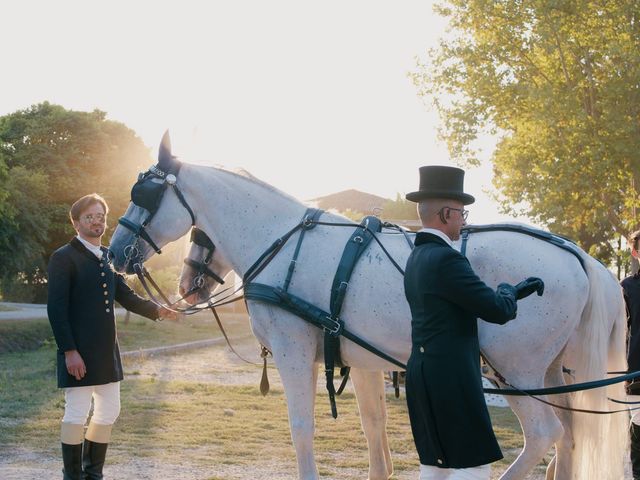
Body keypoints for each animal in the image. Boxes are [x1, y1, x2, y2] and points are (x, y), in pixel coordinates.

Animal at [109, 146, 624, 480]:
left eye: (145, 196)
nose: (116, 253)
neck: (283, 241)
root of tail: (580, 257)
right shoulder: (361, 361)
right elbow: (373, 429)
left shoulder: (295, 354)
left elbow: (302, 429)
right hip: (551, 371)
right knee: (569, 435)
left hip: (512, 368)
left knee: (544, 433)